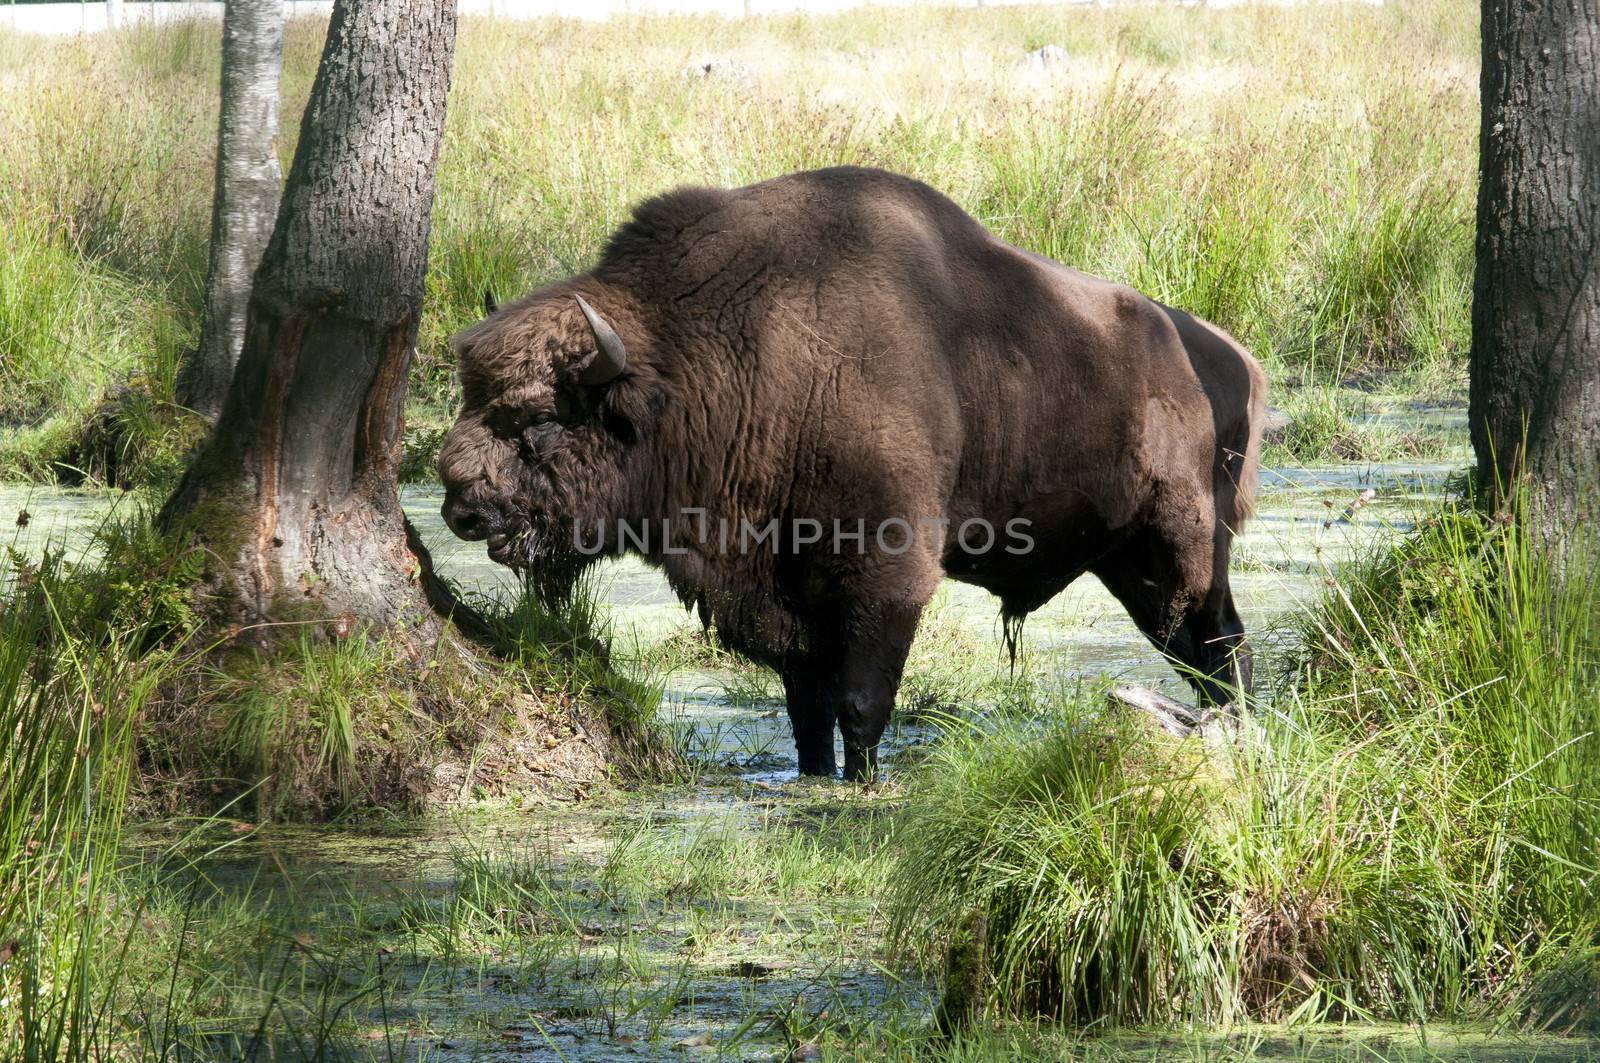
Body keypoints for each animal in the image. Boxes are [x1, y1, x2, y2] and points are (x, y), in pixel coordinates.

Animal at [438, 166, 1260, 781]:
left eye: (541, 419)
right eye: (473, 397)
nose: (460, 505)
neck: (724, 353)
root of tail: (1231, 362)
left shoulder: (884, 577)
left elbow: (860, 706)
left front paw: (861, 783)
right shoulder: (785, 596)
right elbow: (808, 710)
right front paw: (814, 776)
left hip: (1180, 548)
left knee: (1220, 640)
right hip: (1130, 565)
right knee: (1206, 651)